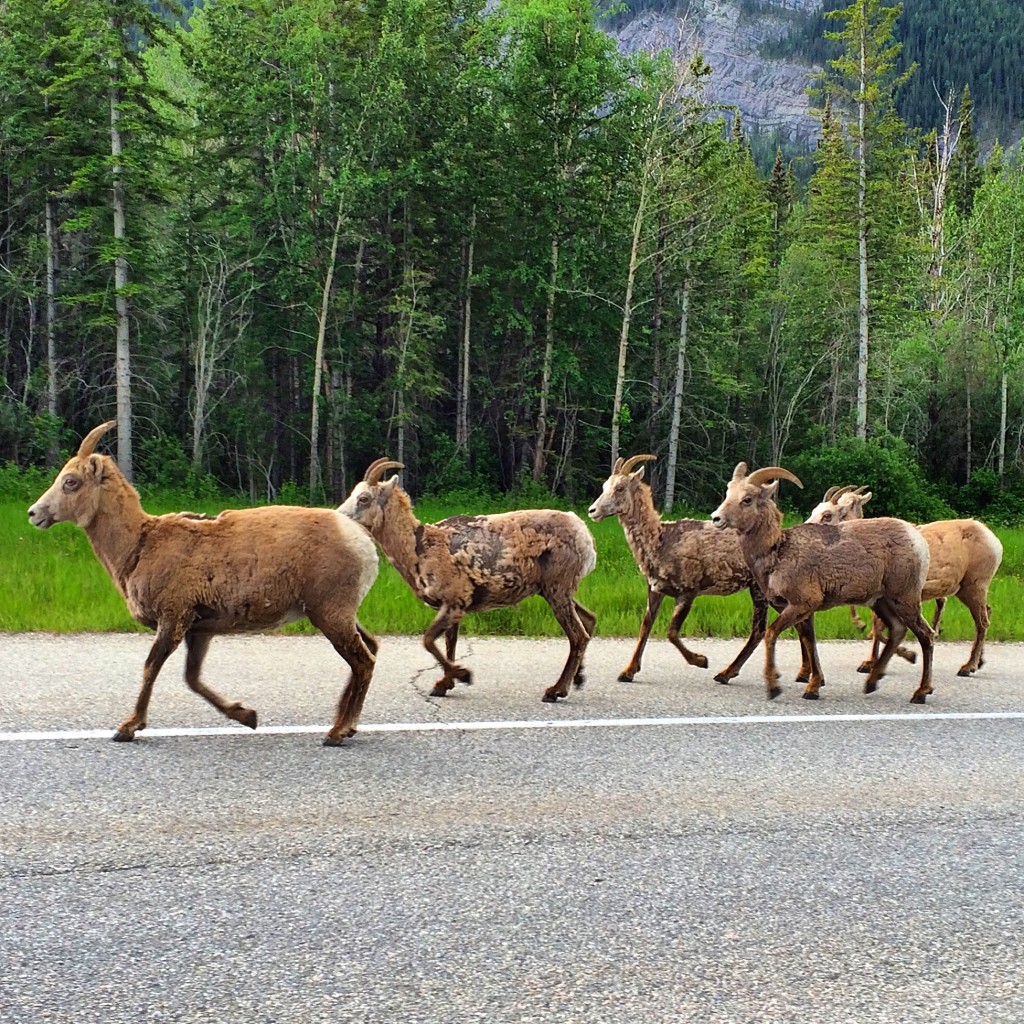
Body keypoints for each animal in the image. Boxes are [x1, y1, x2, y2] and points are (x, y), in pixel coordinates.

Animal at [28, 419, 380, 749]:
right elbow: (192, 678)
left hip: (330, 615)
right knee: (370, 649)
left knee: (363, 660)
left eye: (71, 482)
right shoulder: (200, 629)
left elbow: (151, 668)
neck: (139, 546)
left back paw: (336, 733)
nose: (34, 514)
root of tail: (361, 541)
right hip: (338, 615)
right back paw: (347, 726)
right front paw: (247, 716)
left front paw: (127, 728)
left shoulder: (173, 619)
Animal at [337, 460, 593, 700]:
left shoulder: (453, 601)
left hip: (557, 590)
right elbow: (449, 644)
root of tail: (585, 536)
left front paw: (463, 676)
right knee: (588, 620)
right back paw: (578, 679)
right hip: (554, 591)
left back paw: (556, 691)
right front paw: (443, 685)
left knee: (578, 636)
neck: (419, 550)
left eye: (364, 498)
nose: (339, 518)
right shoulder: (454, 608)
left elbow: (428, 640)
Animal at [585, 456, 770, 688]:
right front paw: (627, 672)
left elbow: (671, 632)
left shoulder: (688, 591)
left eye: (620, 488)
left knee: (759, 630)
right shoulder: (656, 590)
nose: (592, 511)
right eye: (604, 486)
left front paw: (701, 660)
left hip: (759, 589)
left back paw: (725, 673)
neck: (660, 542)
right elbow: (645, 627)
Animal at [712, 464, 937, 704]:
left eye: (747, 499)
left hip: (904, 599)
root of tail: (917, 540)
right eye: (728, 493)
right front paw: (813, 687)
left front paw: (774, 688)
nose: (716, 518)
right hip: (882, 602)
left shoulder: (801, 604)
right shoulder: (802, 610)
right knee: (897, 630)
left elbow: (771, 634)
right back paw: (871, 683)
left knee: (926, 635)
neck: (779, 551)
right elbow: (809, 641)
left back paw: (920, 693)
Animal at [806, 489, 999, 679]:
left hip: (974, 587)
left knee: (982, 622)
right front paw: (869, 661)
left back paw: (967, 667)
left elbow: (879, 629)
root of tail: (993, 540)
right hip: (967, 590)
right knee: (986, 612)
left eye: (827, 515)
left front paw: (878, 660)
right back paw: (978, 662)